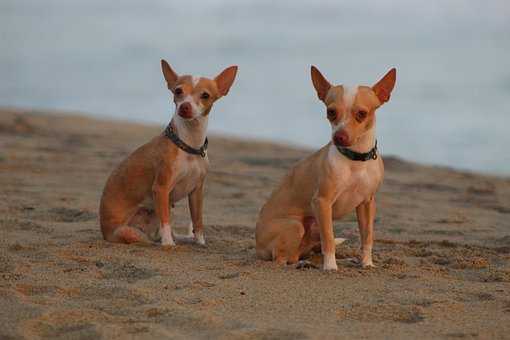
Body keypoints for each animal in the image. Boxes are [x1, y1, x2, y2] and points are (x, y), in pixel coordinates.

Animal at [100, 59, 239, 246]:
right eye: (178, 91)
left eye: (205, 95)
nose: (185, 106)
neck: (188, 145)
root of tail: (104, 231)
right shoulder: (161, 189)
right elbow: (165, 221)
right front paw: (168, 245)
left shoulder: (196, 191)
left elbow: (198, 220)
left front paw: (200, 242)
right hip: (128, 231)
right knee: (149, 235)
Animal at [256, 66, 396, 270]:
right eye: (331, 112)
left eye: (362, 114)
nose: (339, 137)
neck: (355, 160)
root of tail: (256, 244)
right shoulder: (322, 202)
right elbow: (329, 240)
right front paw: (330, 267)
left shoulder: (367, 204)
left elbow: (367, 237)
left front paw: (367, 263)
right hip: (295, 226)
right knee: (281, 259)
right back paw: (301, 264)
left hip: (313, 228)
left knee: (298, 253)